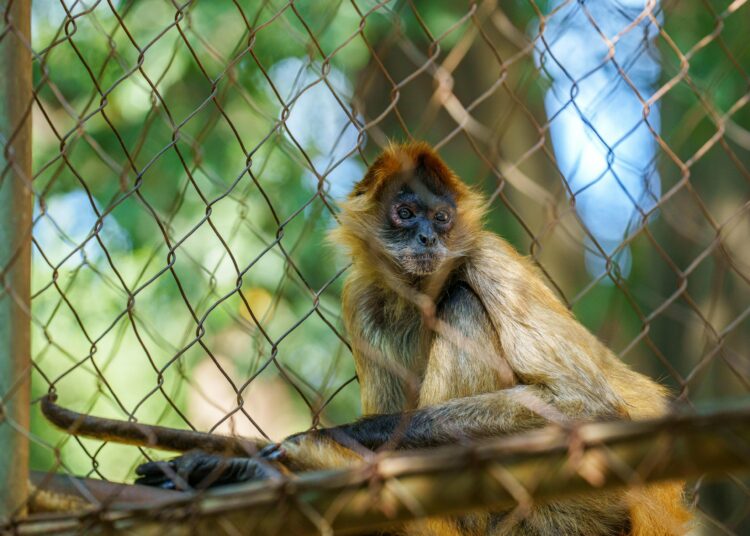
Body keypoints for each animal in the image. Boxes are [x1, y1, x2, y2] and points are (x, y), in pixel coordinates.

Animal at [45, 142, 693, 535]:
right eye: (406, 213)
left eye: (440, 218)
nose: (429, 237)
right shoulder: (363, 295)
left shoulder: (488, 256)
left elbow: (584, 407)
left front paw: (301, 445)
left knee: (464, 302)